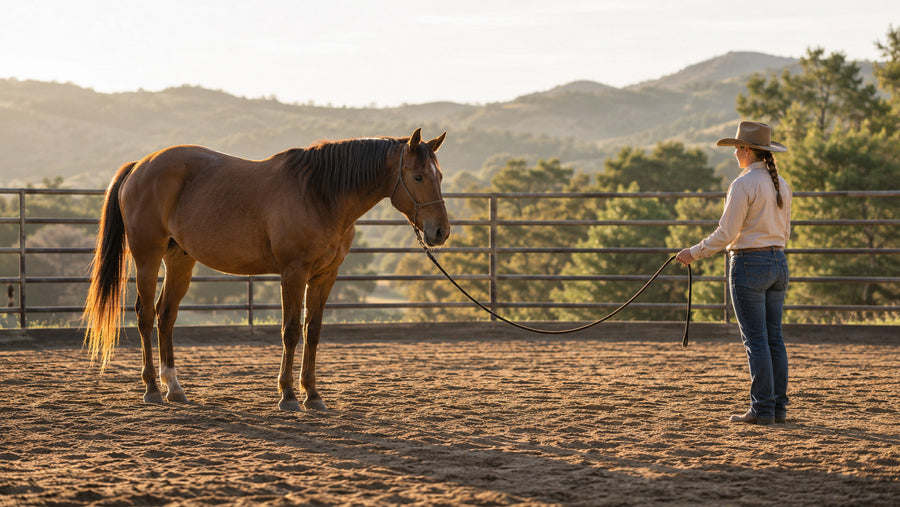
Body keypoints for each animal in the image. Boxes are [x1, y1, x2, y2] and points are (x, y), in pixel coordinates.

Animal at [83, 128, 450, 411]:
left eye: (440, 176)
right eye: (418, 176)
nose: (440, 232)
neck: (320, 194)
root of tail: (139, 166)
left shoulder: (325, 276)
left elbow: (313, 332)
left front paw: (312, 395)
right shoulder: (294, 273)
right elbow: (290, 331)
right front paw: (288, 395)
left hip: (180, 259)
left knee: (166, 316)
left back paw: (174, 388)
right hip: (147, 256)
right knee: (145, 315)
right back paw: (151, 389)